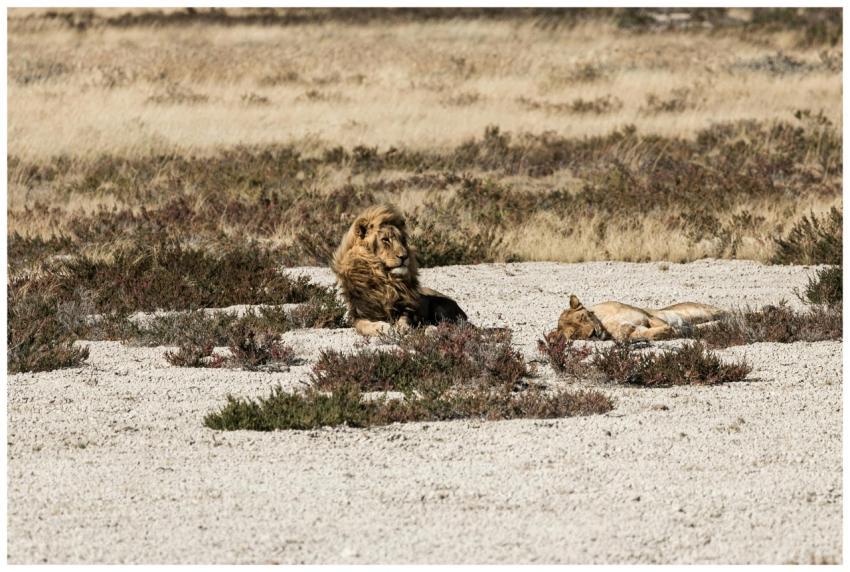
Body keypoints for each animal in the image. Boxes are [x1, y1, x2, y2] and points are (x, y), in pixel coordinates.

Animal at [331, 204, 468, 336]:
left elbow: (404, 319)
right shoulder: (360, 314)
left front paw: (403, 328)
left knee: (453, 325)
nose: (404, 256)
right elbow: (366, 325)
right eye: (385, 240)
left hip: (440, 307)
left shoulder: (406, 308)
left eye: (402, 240)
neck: (385, 279)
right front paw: (385, 328)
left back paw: (431, 329)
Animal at [552, 295, 726, 342]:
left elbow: (659, 323)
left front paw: (673, 329)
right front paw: (667, 331)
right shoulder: (635, 329)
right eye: (575, 334)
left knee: (727, 314)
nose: (593, 333)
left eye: (582, 317)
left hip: (704, 312)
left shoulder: (647, 316)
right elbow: (639, 333)